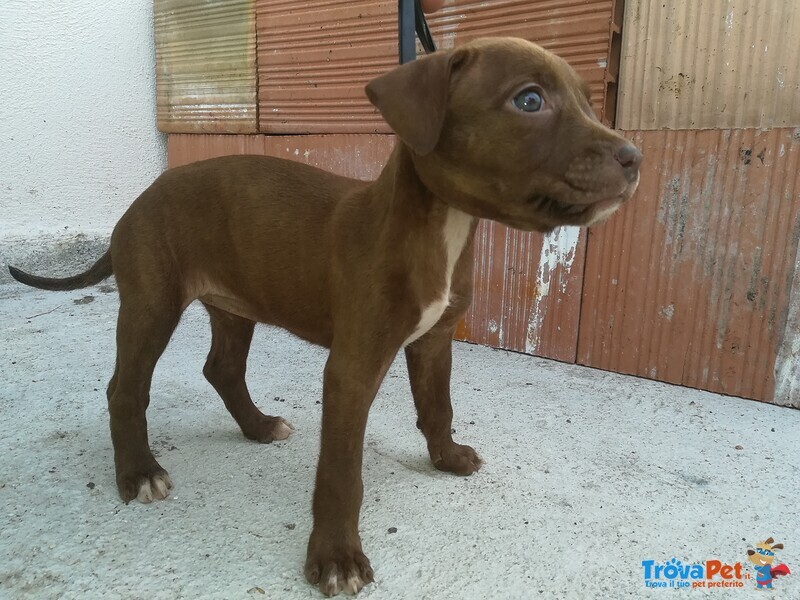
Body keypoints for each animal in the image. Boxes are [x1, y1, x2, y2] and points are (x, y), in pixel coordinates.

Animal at [9, 37, 640, 596]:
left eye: (590, 102)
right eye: (529, 101)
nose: (634, 157)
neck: (441, 227)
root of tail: (138, 200)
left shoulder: (434, 340)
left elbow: (438, 406)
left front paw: (446, 458)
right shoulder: (352, 370)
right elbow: (341, 474)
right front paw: (336, 559)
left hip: (234, 304)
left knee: (221, 368)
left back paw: (258, 426)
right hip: (152, 301)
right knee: (126, 387)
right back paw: (139, 473)